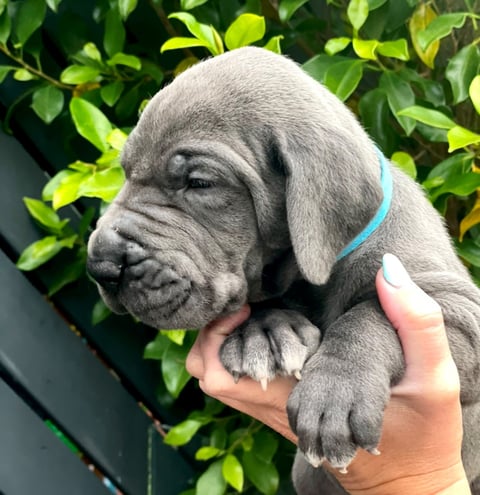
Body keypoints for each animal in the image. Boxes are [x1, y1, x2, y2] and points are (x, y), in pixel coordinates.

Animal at [86, 47, 480, 495]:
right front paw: (263, 333)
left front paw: (336, 390)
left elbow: (371, 314)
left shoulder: (455, 304)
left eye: (200, 182)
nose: (100, 265)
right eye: (126, 172)